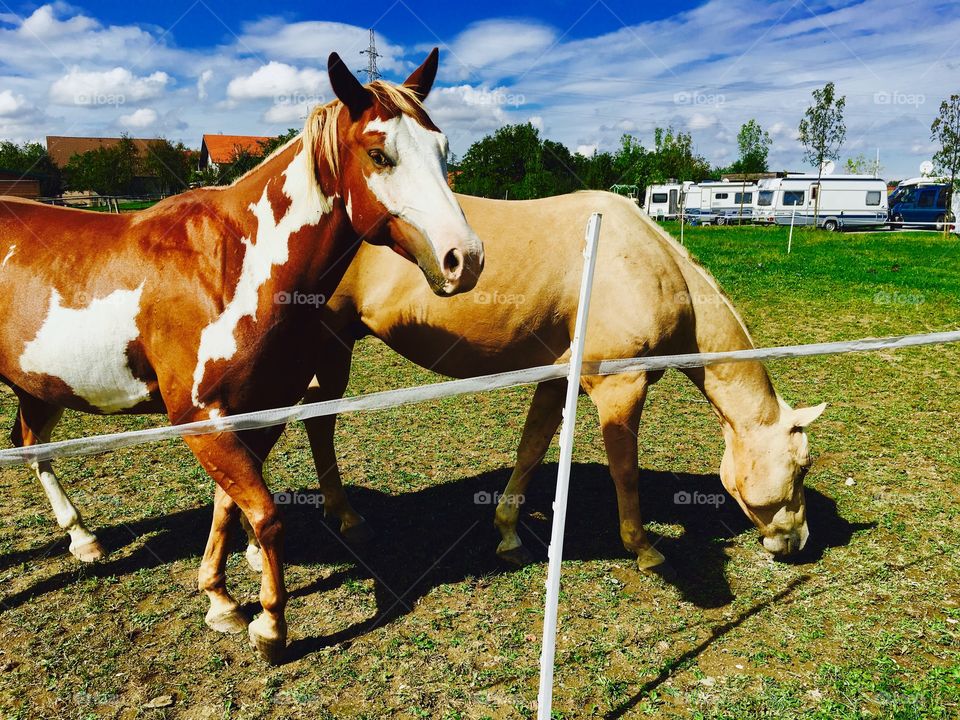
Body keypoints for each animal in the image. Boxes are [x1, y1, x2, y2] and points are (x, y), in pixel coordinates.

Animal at [0, 49, 483, 663]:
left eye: (442, 148)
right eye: (379, 154)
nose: (464, 259)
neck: (234, 267)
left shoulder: (260, 410)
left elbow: (230, 507)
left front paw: (220, 600)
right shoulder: (201, 418)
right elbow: (265, 514)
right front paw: (269, 625)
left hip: (38, 386)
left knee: (31, 446)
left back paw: (83, 538)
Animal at [246, 190, 824, 574]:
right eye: (803, 466)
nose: (798, 542)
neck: (648, 262)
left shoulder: (556, 381)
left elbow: (531, 449)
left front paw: (506, 533)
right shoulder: (621, 388)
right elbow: (625, 472)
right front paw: (644, 548)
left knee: (315, 424)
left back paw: (344, 517)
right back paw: (258, 547)